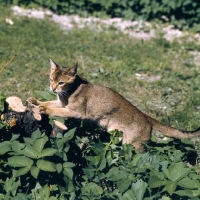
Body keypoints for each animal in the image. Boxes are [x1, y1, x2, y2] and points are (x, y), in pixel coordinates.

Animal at [27, 58, 200, 152]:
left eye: (61, 82)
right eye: (51, 79)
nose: (52, 88)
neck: (70, 90)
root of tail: (145, 116)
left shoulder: (75, 112)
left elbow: (54, 109)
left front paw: (42, 108)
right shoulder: (62, 103)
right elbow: (50, 102)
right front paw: (34, 101)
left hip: (132, 144)